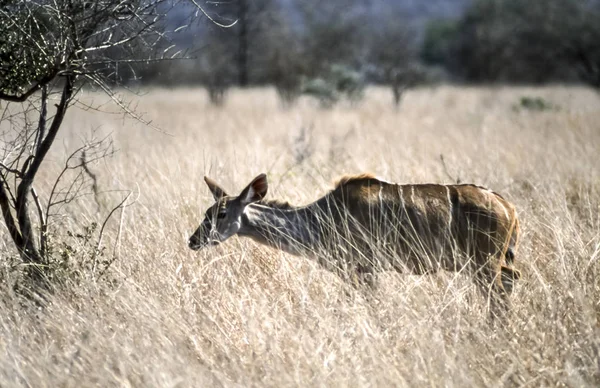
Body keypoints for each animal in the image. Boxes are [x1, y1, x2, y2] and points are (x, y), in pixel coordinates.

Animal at [189, 174, 520, 316]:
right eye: (206, 212)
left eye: (220, 214)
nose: (193, 240)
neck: (319, 218)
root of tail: (509, 207)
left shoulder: (365, 268)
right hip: (492, 264)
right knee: (511, 281)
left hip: (484, 266)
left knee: (500, 298)